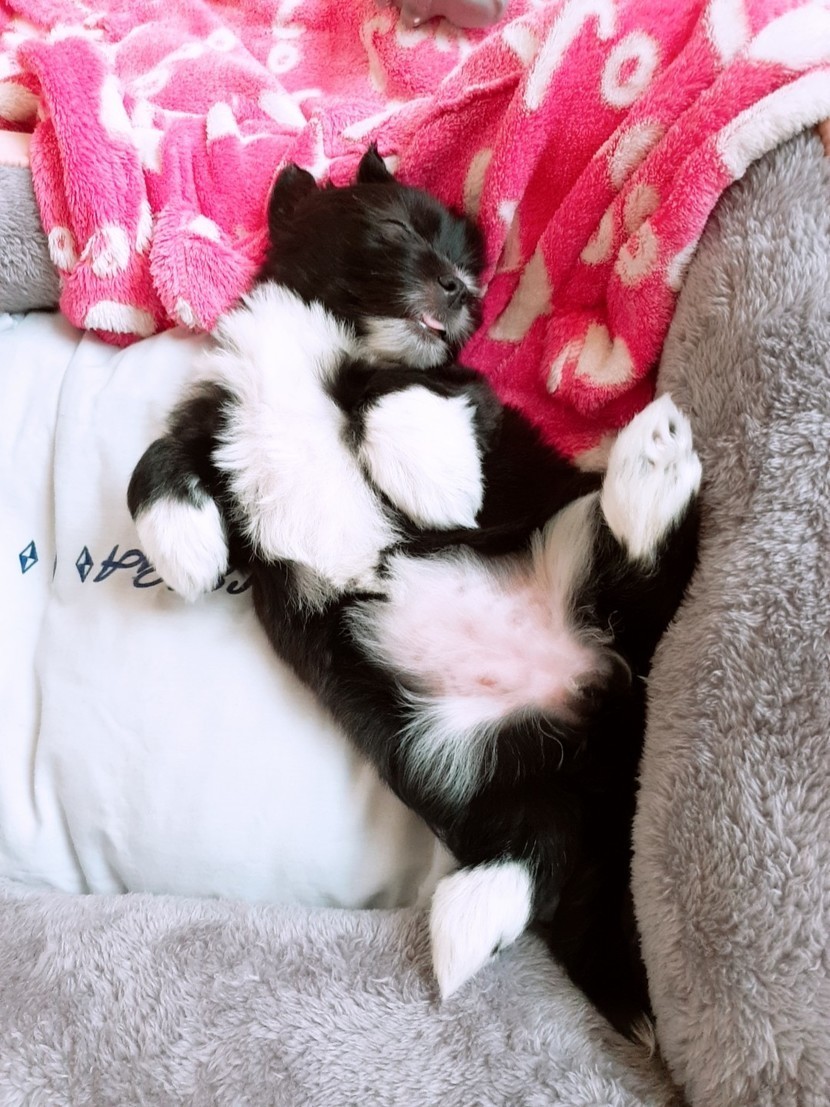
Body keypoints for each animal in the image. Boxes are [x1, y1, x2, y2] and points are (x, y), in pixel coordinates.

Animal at [128, 145, 701, 1036]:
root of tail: (605, 711)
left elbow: (397, 391)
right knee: (541, 844)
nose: (463, 292)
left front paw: (432, 477)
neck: (321, 335)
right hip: (472, 761)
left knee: (646, 570)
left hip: (574, 533)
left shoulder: (468, 392)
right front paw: (185, 543)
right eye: (398, 227)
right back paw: (475, 911)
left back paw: (655, 468)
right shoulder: (217, 414)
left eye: (473, 266)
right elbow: (154, 461)